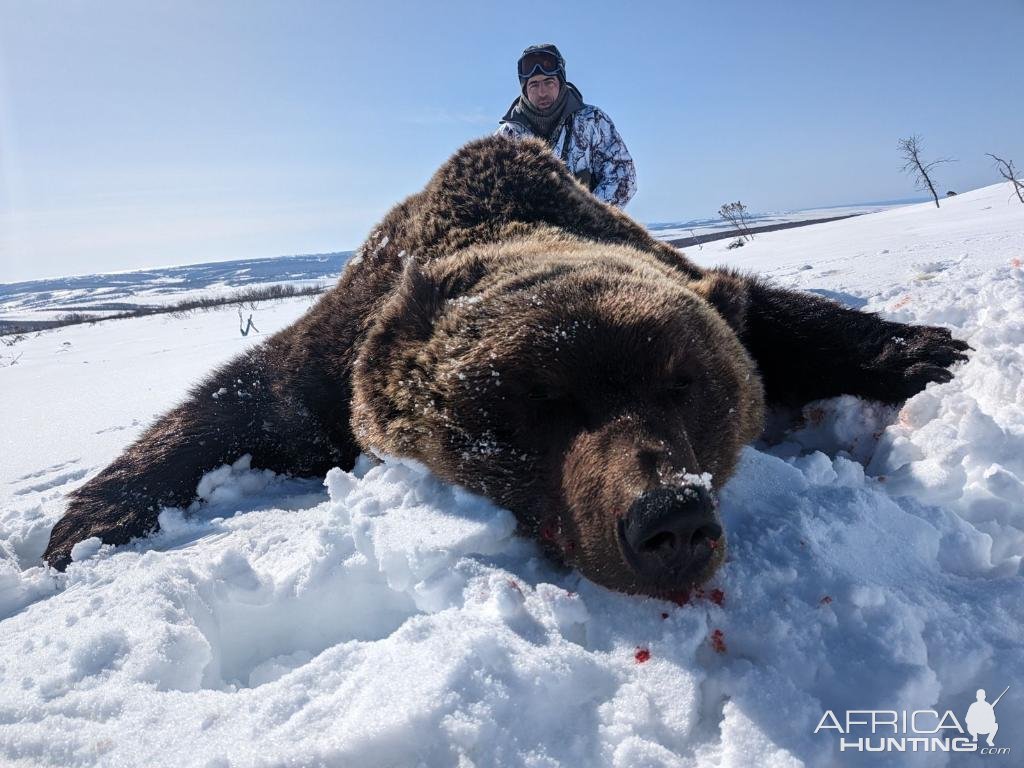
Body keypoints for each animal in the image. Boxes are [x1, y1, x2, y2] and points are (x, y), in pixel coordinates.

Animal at [41, 135, 966, 598]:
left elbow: (775, 314)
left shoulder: (680, 271)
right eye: (543, 398)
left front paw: (926, 349)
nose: (670, 516)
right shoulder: (336, 357)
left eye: (688, 382)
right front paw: (86, 520)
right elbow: (240, 402)